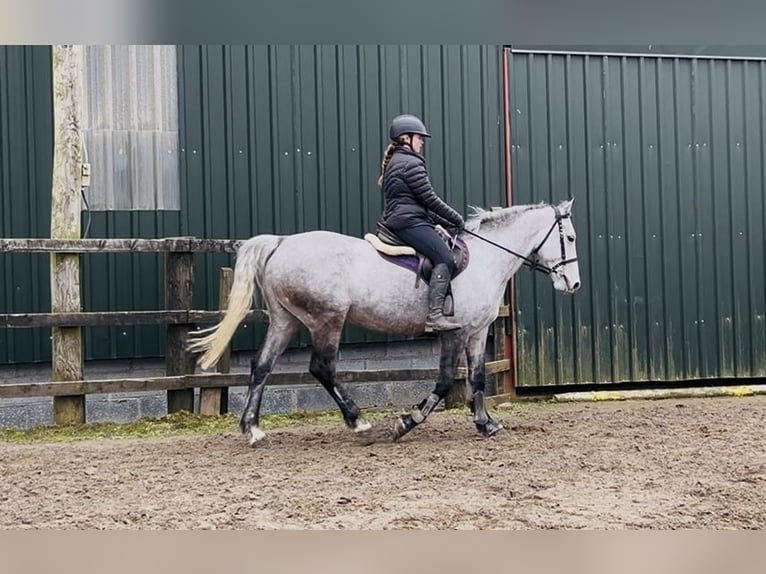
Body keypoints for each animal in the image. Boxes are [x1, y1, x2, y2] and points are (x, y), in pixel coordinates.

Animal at [187, 199, 581, 446]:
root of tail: (281, 243)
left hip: (286, 321)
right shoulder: (454, 334)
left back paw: (252, 429)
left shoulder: (477, 332)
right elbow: (443, 383)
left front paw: (486, 424)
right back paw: (358, 421)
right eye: (570, 237)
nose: (573, 285)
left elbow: (480, 379)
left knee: (261, 366)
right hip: (326, 320)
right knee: (322, 368)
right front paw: (407, 422)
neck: (487, 258)